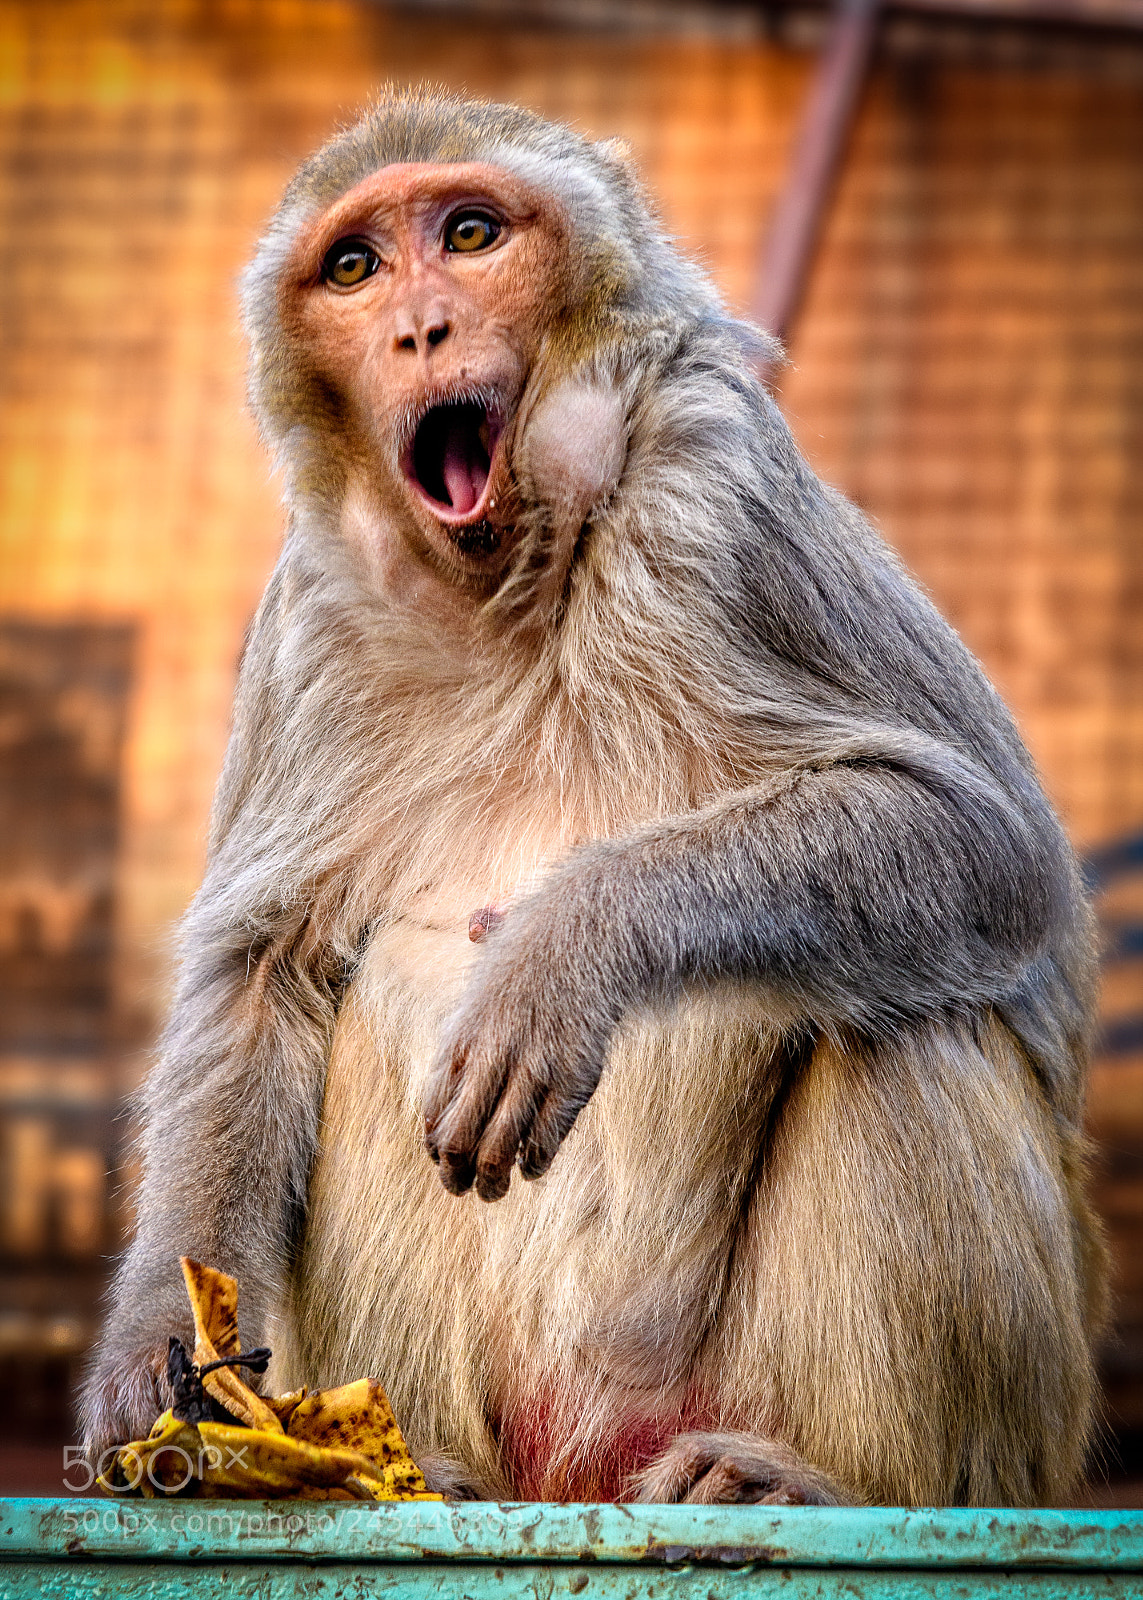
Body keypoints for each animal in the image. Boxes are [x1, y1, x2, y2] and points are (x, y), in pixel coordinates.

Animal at [81, 88, 1106, 1508]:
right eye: (355, 269)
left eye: (469, 235)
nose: (417, 327)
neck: (520, 596)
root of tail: (583, 1464)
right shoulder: (309, 623)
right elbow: (264, 972)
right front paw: (156, 1348)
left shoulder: (724, 501)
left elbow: (990, 847)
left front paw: (566, 951)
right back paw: (423, 1465)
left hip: (962, 1418)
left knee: (910, 1018)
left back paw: (826, 1480)